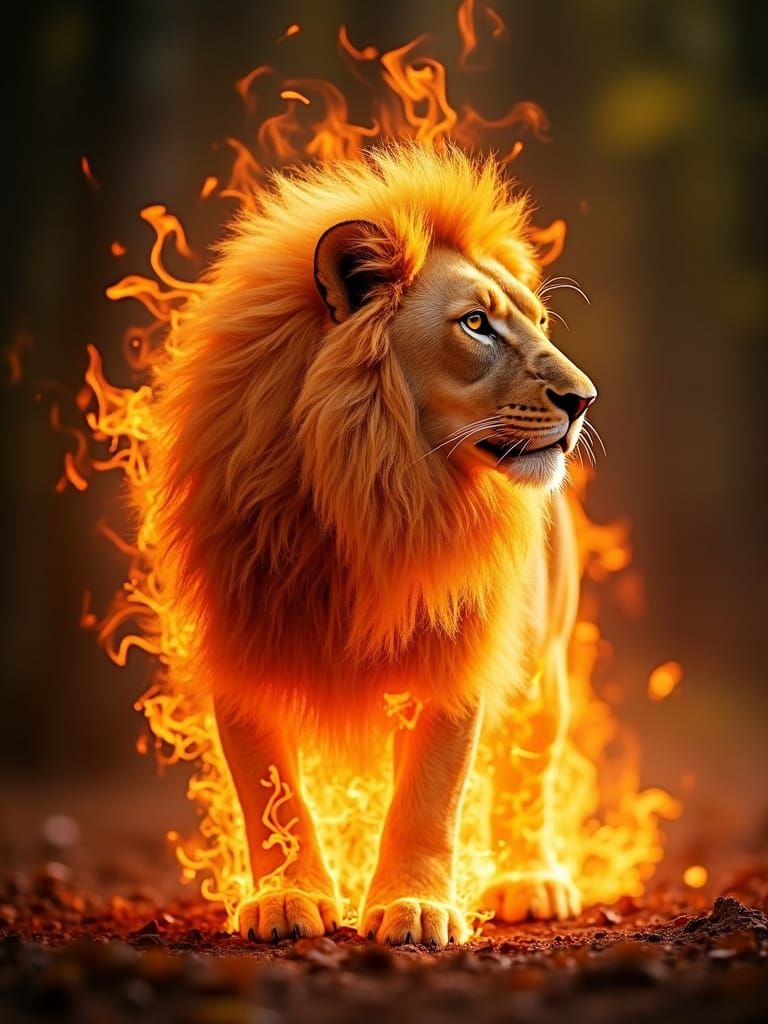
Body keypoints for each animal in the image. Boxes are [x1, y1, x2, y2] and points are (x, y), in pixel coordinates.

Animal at [150, 143, 596, 947]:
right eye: (476, 323)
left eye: (541, 322)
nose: (583, 401)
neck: (373, 484)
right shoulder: (239, 629)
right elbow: (268, 787)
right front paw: (287, 897)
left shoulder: (456, 644)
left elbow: (430, 796)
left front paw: (413, 906)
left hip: (544, 662)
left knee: (532, 764)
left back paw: (530, 879)